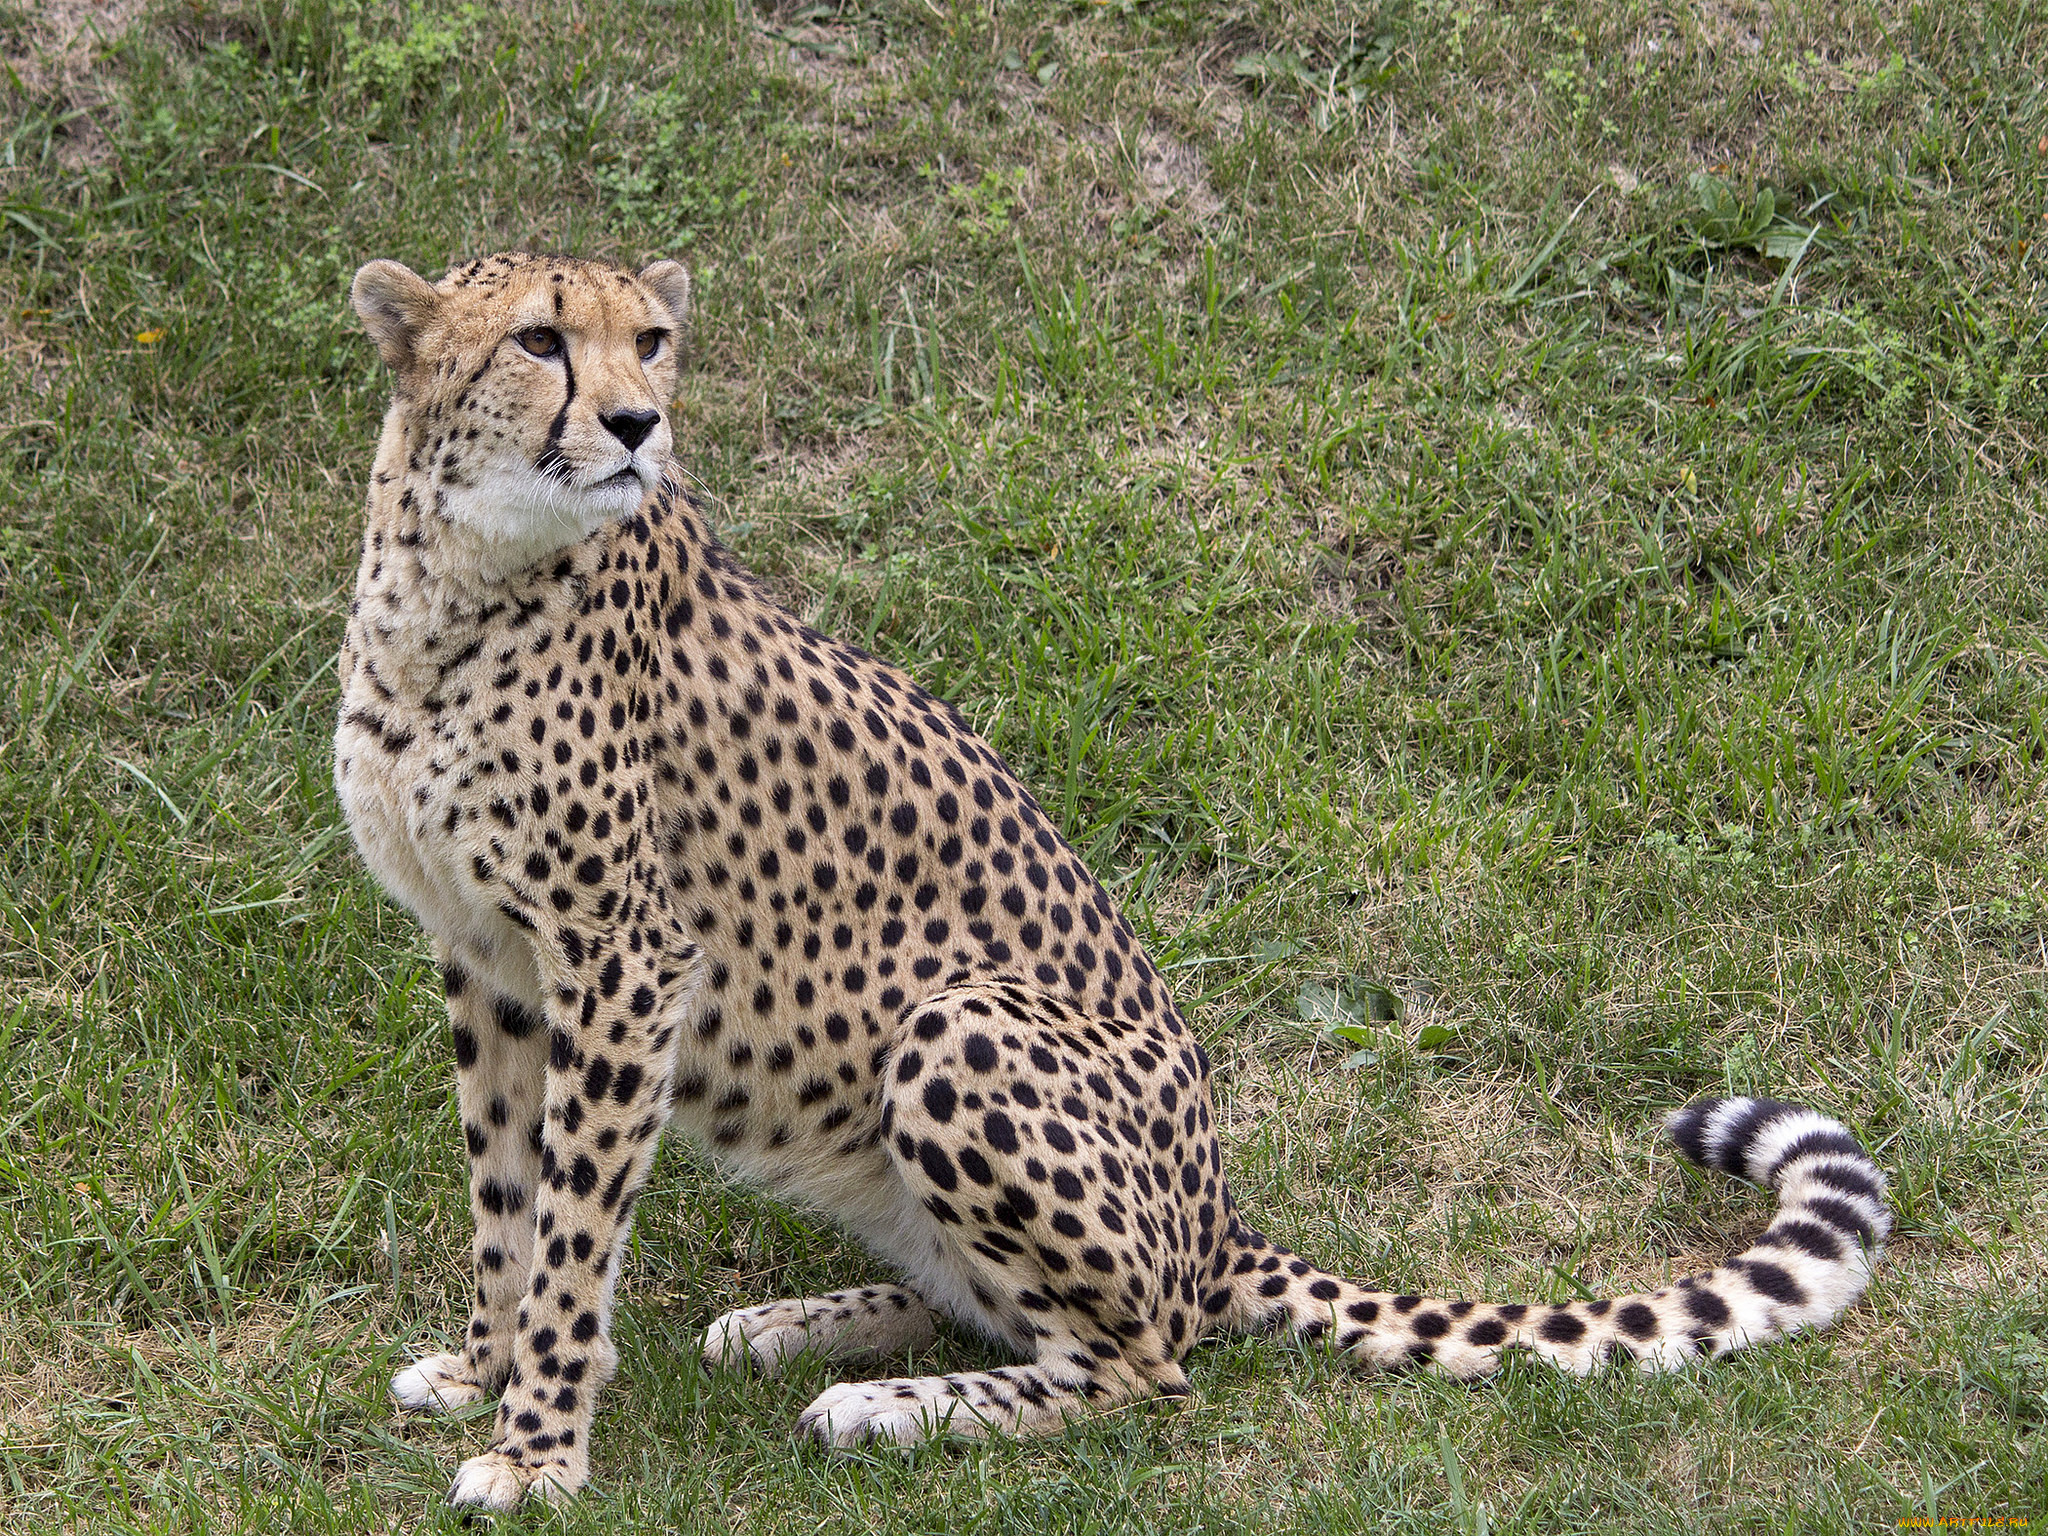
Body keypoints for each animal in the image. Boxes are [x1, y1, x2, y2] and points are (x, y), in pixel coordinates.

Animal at [331, 256, 1884, 1515]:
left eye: (649, 341)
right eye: (540, 339)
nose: (636, 425)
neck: (457, 577)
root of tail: (1218, 1214)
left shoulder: (622, 959)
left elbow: (572, 1227)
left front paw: (538, 1449)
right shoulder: (484, 955)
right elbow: (505, 1192)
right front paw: (482, 1374)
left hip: (959, 1024)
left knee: (1143, 1364)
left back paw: (881, 1406)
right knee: (1013, 1309)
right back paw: (797, 1326)